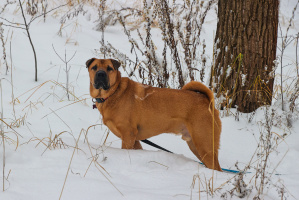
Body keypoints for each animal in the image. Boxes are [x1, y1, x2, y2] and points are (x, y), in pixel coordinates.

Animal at [86, 58, 223, 172]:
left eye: (109, 68)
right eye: (94, 67)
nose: (100, 74)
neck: (113, 93)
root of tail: (206, 101)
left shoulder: (128, 134)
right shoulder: (135, 140)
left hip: (205, 146)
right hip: (196, 146)